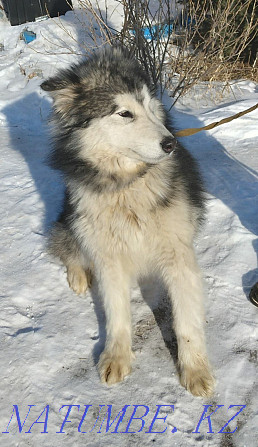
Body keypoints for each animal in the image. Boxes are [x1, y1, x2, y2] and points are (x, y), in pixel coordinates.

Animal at [41, 47, 215, 398]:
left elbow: (186, 322)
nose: (170, 144)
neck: (126, 185)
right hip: (72, 219)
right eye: (124, 113)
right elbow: (116, 312)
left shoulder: (179, 253)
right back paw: (78, 275)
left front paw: (195, 370)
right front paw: (116, 357)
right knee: (68, 246)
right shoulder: (108, 257)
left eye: (149, 105)